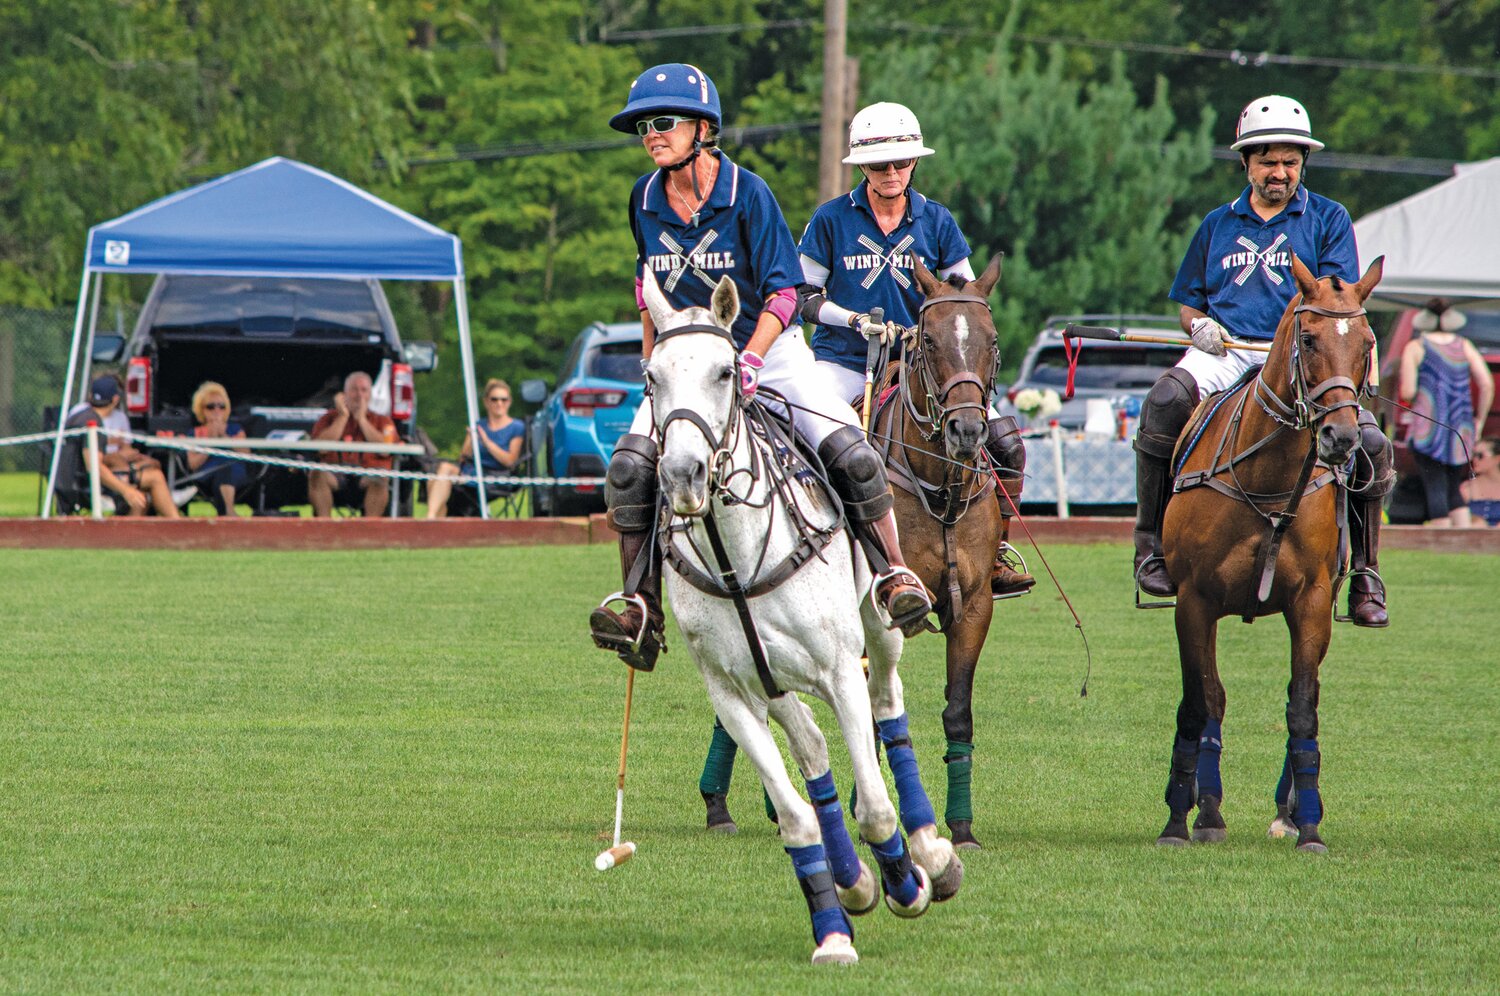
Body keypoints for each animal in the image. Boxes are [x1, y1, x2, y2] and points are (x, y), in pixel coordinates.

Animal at [636, 270, 960, 966]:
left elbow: (874, 806)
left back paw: (930, 853)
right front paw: (836, 925)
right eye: (651, 376)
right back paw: (854, 879)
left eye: (726, 372)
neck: (735, 560)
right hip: (774, 679)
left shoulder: (838, 669)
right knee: (810, 743)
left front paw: (906, 884)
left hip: (875, 627)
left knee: (887, 701)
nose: (681, 475)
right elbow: (795, 816)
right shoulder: (731, 693)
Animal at [1158, 253, 1380, 852]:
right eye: (1307, 338)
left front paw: (1309, 826)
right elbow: (1202, 701)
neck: (1269, 481)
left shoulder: (1311, 601)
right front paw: (1187, 816)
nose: (1340, 438)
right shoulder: (1194, 600)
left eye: (1368, 342)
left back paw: (1292, 810)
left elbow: (1301, 706)